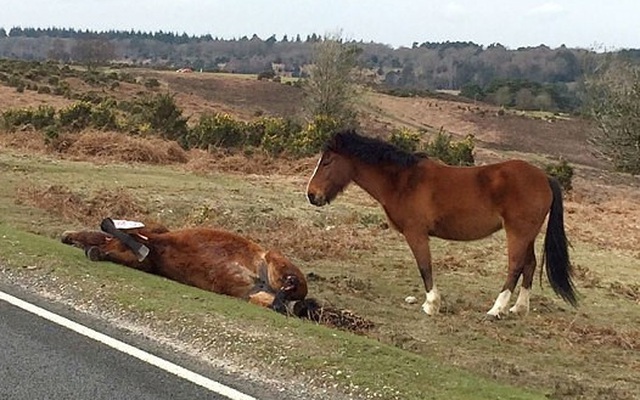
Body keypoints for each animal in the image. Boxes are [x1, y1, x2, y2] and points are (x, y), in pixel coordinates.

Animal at [62, 219, 308, 312]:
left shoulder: (146, 236)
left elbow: (107, 228)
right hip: (252, 294)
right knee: (280, 304)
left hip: (274, 259)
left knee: (292, 292)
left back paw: (290, 286)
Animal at [304, 130, 576, 318]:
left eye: (327, 161)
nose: (311, 195)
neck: (403, 181)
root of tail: (544, 177)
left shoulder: (416, 233)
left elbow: (425, 266)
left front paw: (431, 305)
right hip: (527, 234)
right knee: (529, 265)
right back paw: (518, 309)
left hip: (517, 233)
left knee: (516, 266)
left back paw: (496, 309)